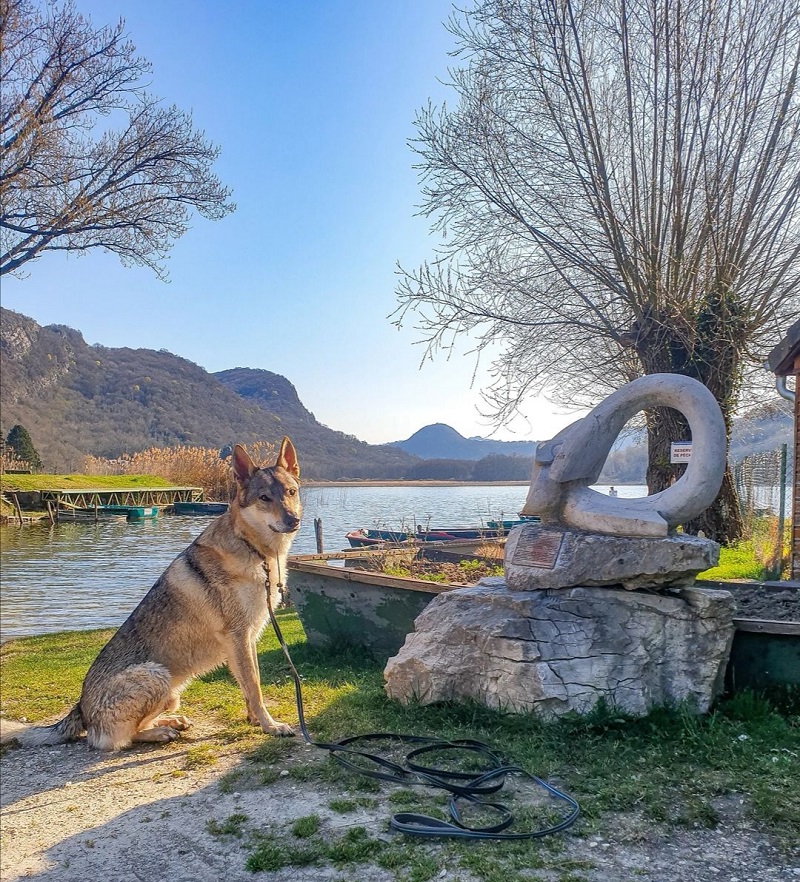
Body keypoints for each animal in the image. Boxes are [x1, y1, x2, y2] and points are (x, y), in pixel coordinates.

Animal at [1, 436, 302, 744]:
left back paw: (173, 722)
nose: (293, 520)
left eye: (291, 492)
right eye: (264, 498)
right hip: (158, 675)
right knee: (117, 739)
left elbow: (249, 686)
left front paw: (254, 720)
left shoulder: (247, 639)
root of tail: (81, 708)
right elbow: (254, 687)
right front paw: (270, 726)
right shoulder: (239, 636)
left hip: (171, 693)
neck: (255, 550)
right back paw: (161, 732)